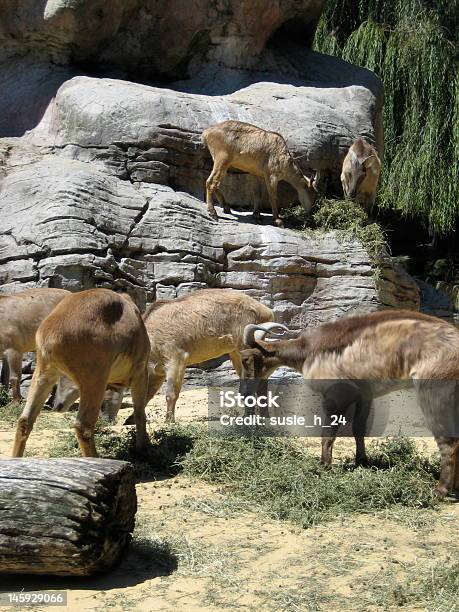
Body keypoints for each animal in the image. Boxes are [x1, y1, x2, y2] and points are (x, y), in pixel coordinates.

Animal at [12, 290, 151, 456]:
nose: (56, 405)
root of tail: (49, 334)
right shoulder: (140, 373)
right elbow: (139, 413)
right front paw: (143, 449)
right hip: (94, 381)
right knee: (83, 426)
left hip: (43, 374)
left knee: (24, 420)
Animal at [239, 310, 459, 498]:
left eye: (246, 359)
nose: (242, 392)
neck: (308, 350)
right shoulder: (364, 395)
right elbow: (358, 430)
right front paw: (362, 461)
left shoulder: (334, 397)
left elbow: (327, 434)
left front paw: (324, 465)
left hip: (433, 395)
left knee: (448, 442)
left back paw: (441, 490)